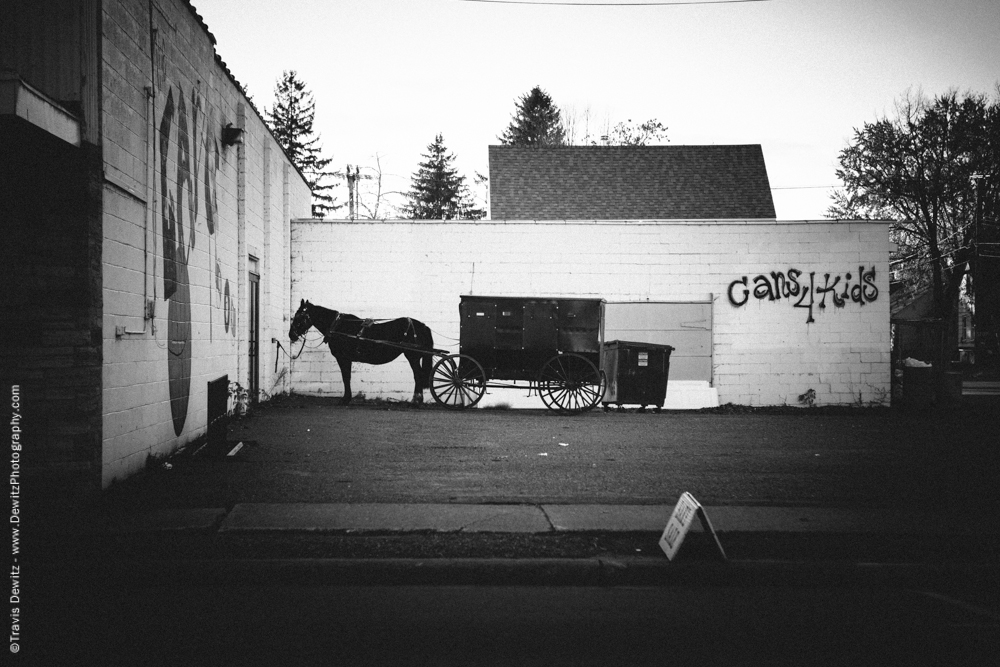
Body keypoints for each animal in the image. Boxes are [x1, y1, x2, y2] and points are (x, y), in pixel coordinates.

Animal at [286, 300, 434, 404]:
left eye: (299, 317)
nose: (291, 335)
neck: (338, 326)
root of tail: (422, 326)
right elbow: (347, 377)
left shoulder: (343, 358)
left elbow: (346, 377)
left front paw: (345, 399)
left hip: (413, 356)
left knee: (418, 376)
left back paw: (416, 400)